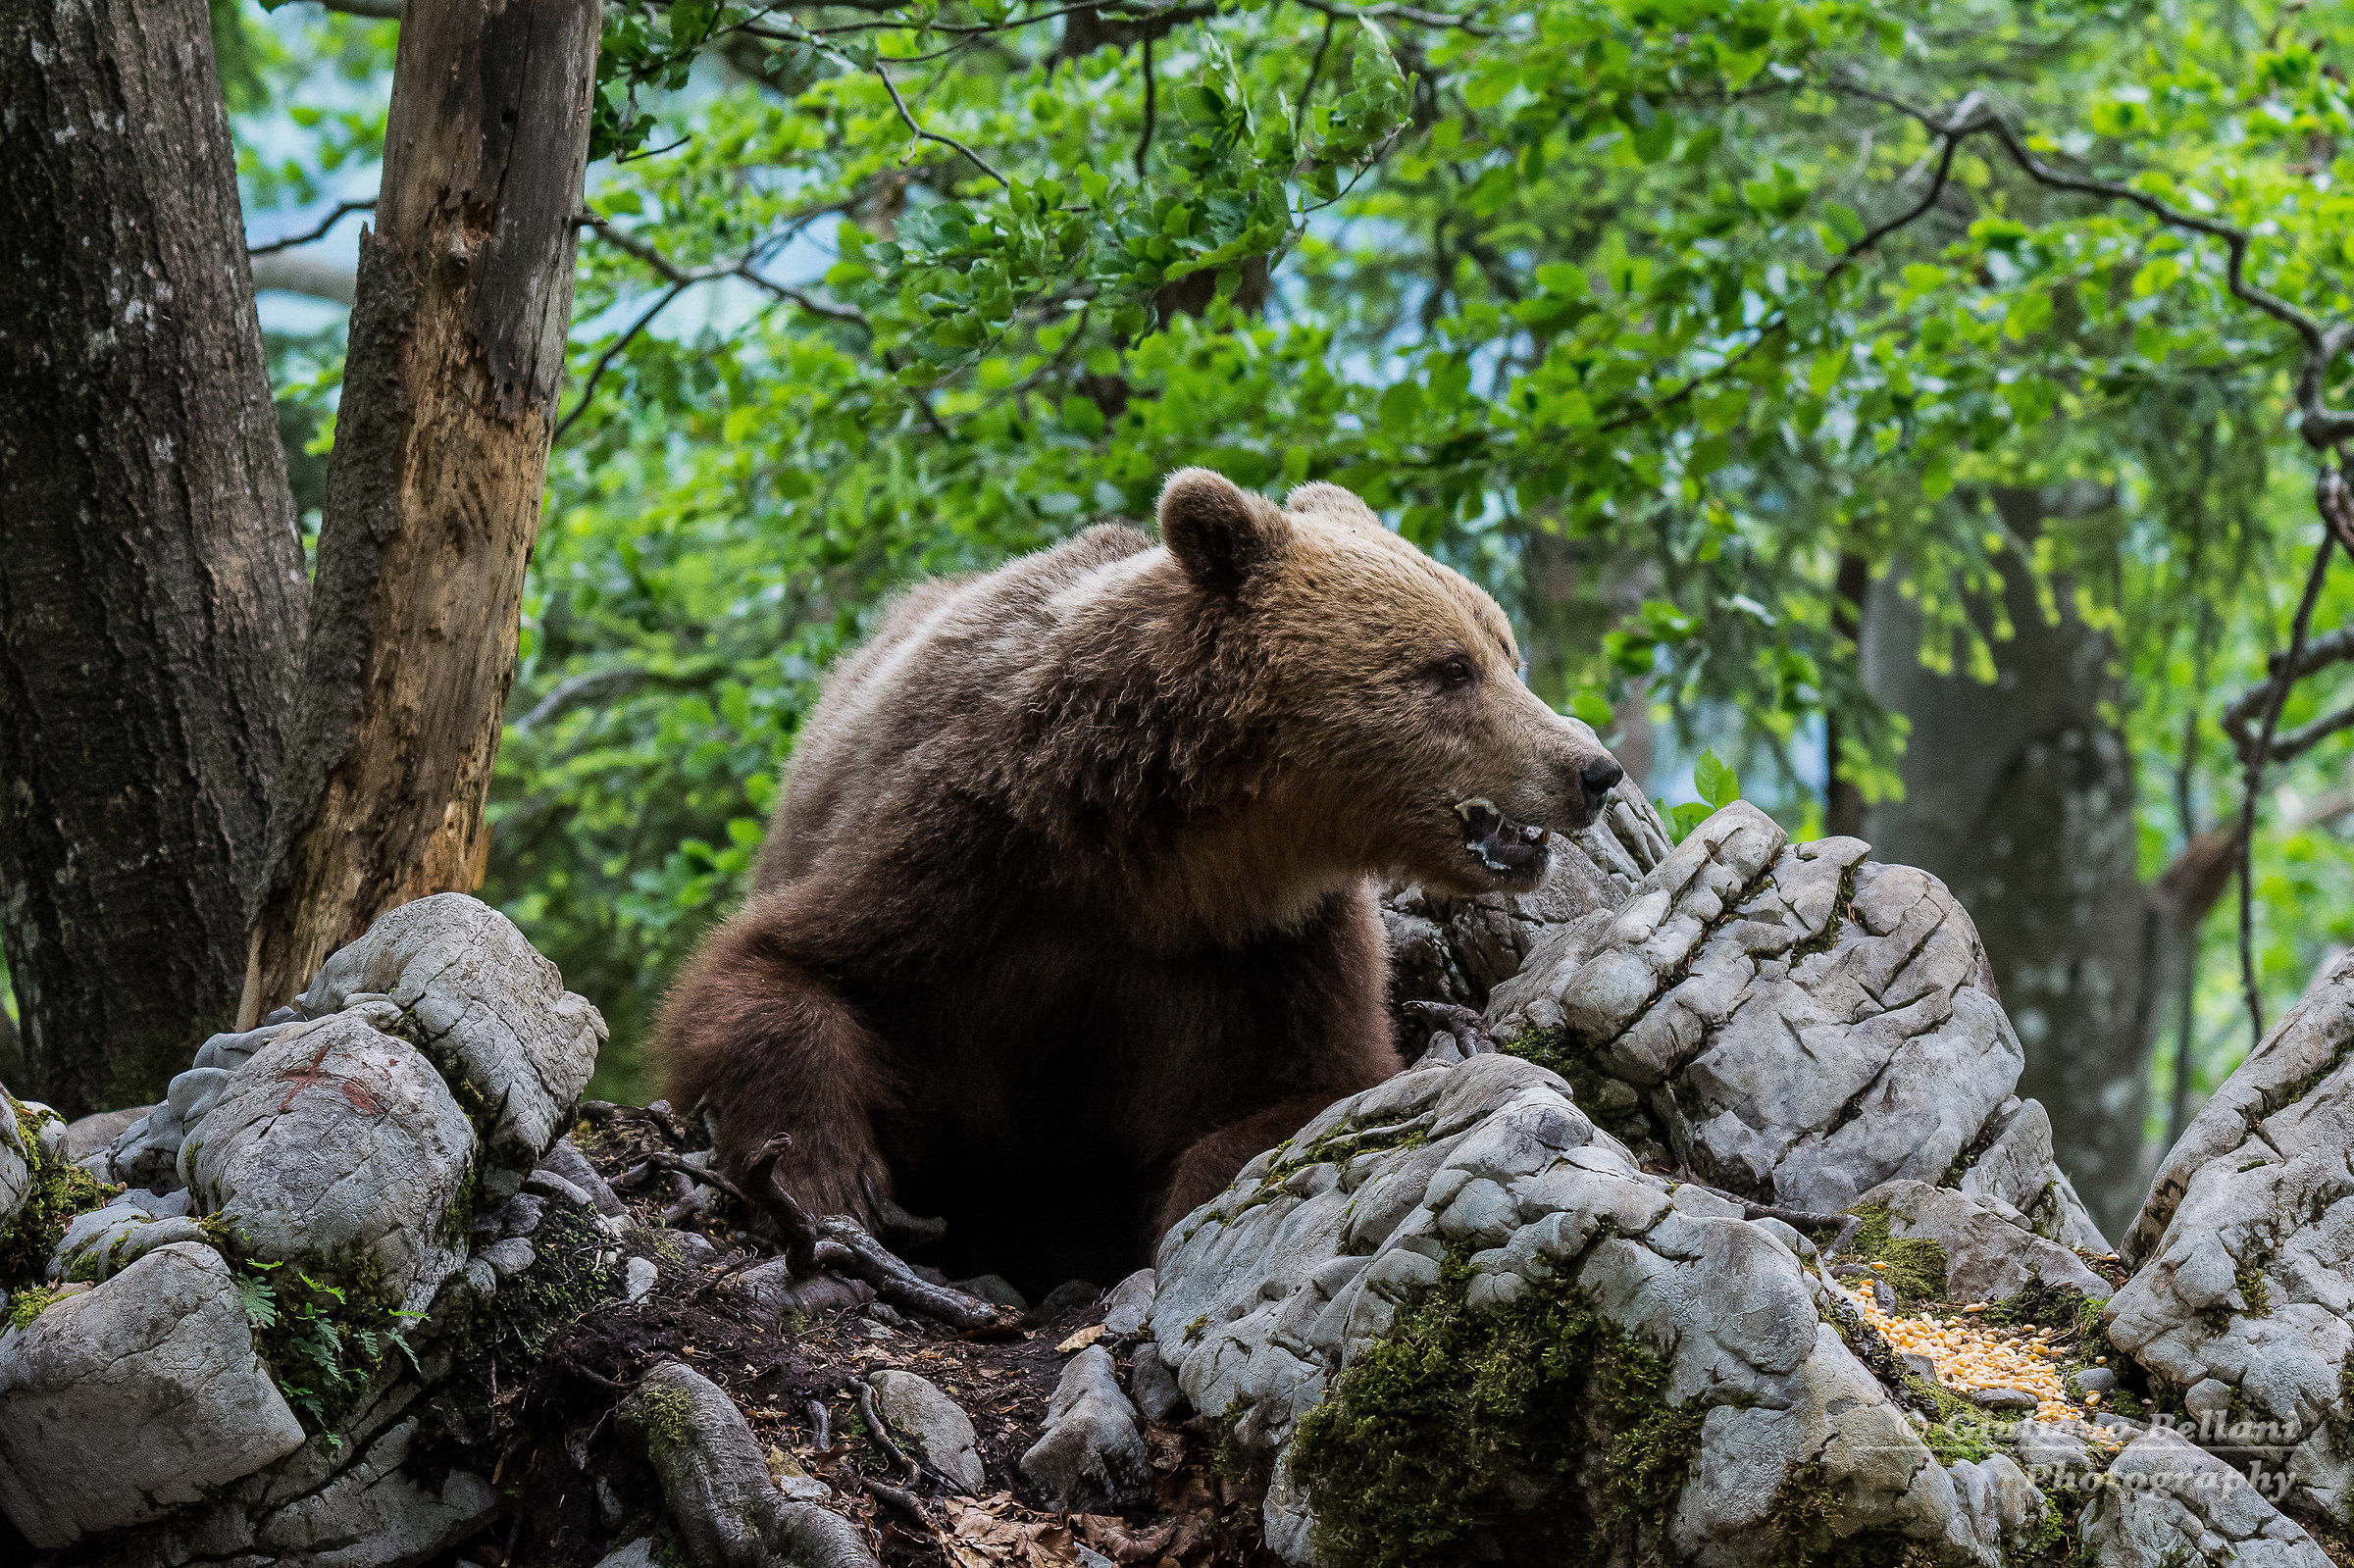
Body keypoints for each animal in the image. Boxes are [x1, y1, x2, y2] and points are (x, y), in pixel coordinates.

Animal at [657, 468, 1624, 1289]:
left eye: (1505, 650)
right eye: (1452, 667)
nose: (1593, 769)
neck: (1167, 862)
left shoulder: (1268, 946)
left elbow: (1310, 1092)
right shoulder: (961, 855)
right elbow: (783, 965)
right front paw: (832, 1176)